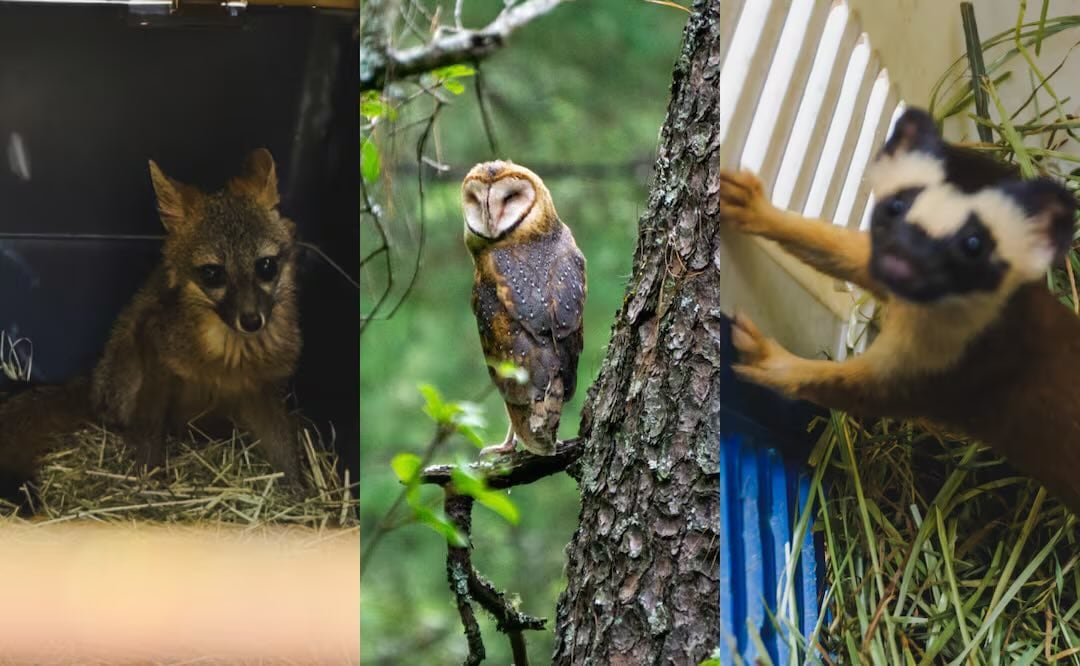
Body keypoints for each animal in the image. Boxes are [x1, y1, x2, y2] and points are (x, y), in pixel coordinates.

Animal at [0, 148, 305, 512]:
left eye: (266, 266)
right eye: (213, 273)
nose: (252, 320)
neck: (228, 359)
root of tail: (92, 385)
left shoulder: (263, 388)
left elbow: (284, 448)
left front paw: (304, 498)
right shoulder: (157, 357)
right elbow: (149, 431)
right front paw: (151, 480)